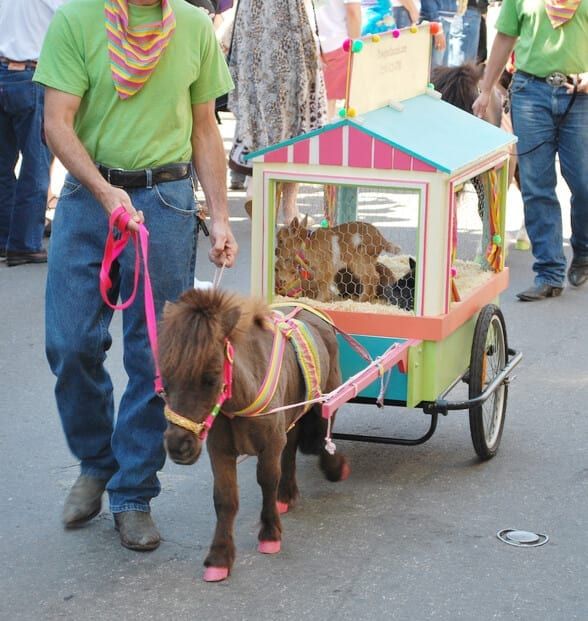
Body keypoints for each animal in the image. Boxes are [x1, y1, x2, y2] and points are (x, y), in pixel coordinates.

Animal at [157, 288, 350, 580]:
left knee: (318, 435)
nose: (179, 446)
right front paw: (219, 558)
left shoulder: (270, 444)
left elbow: (268, 480)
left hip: (327, 395)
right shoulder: (220, 450)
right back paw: (287, 494)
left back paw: (332, 468)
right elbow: (225, 498)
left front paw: (270, 534)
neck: (239, 403)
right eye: (165, 379)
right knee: (292, 446)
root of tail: (310, 308)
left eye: (211, 377)